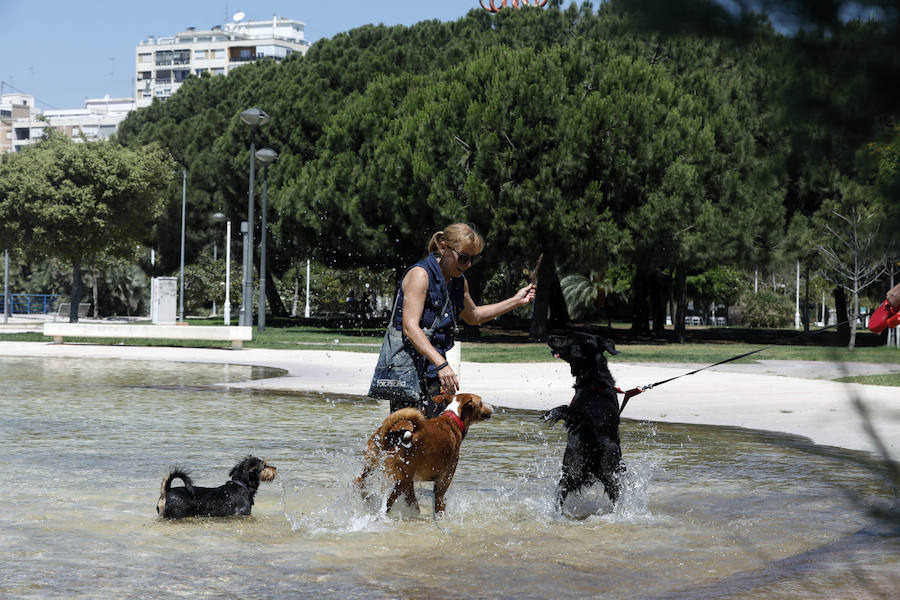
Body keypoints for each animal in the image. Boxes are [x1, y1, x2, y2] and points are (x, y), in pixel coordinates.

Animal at [540, 330, 624, 508]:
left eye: (568, 337)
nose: (549, 336)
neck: (594, 378)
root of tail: (588, 423)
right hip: (610, 465)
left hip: (573, 465)